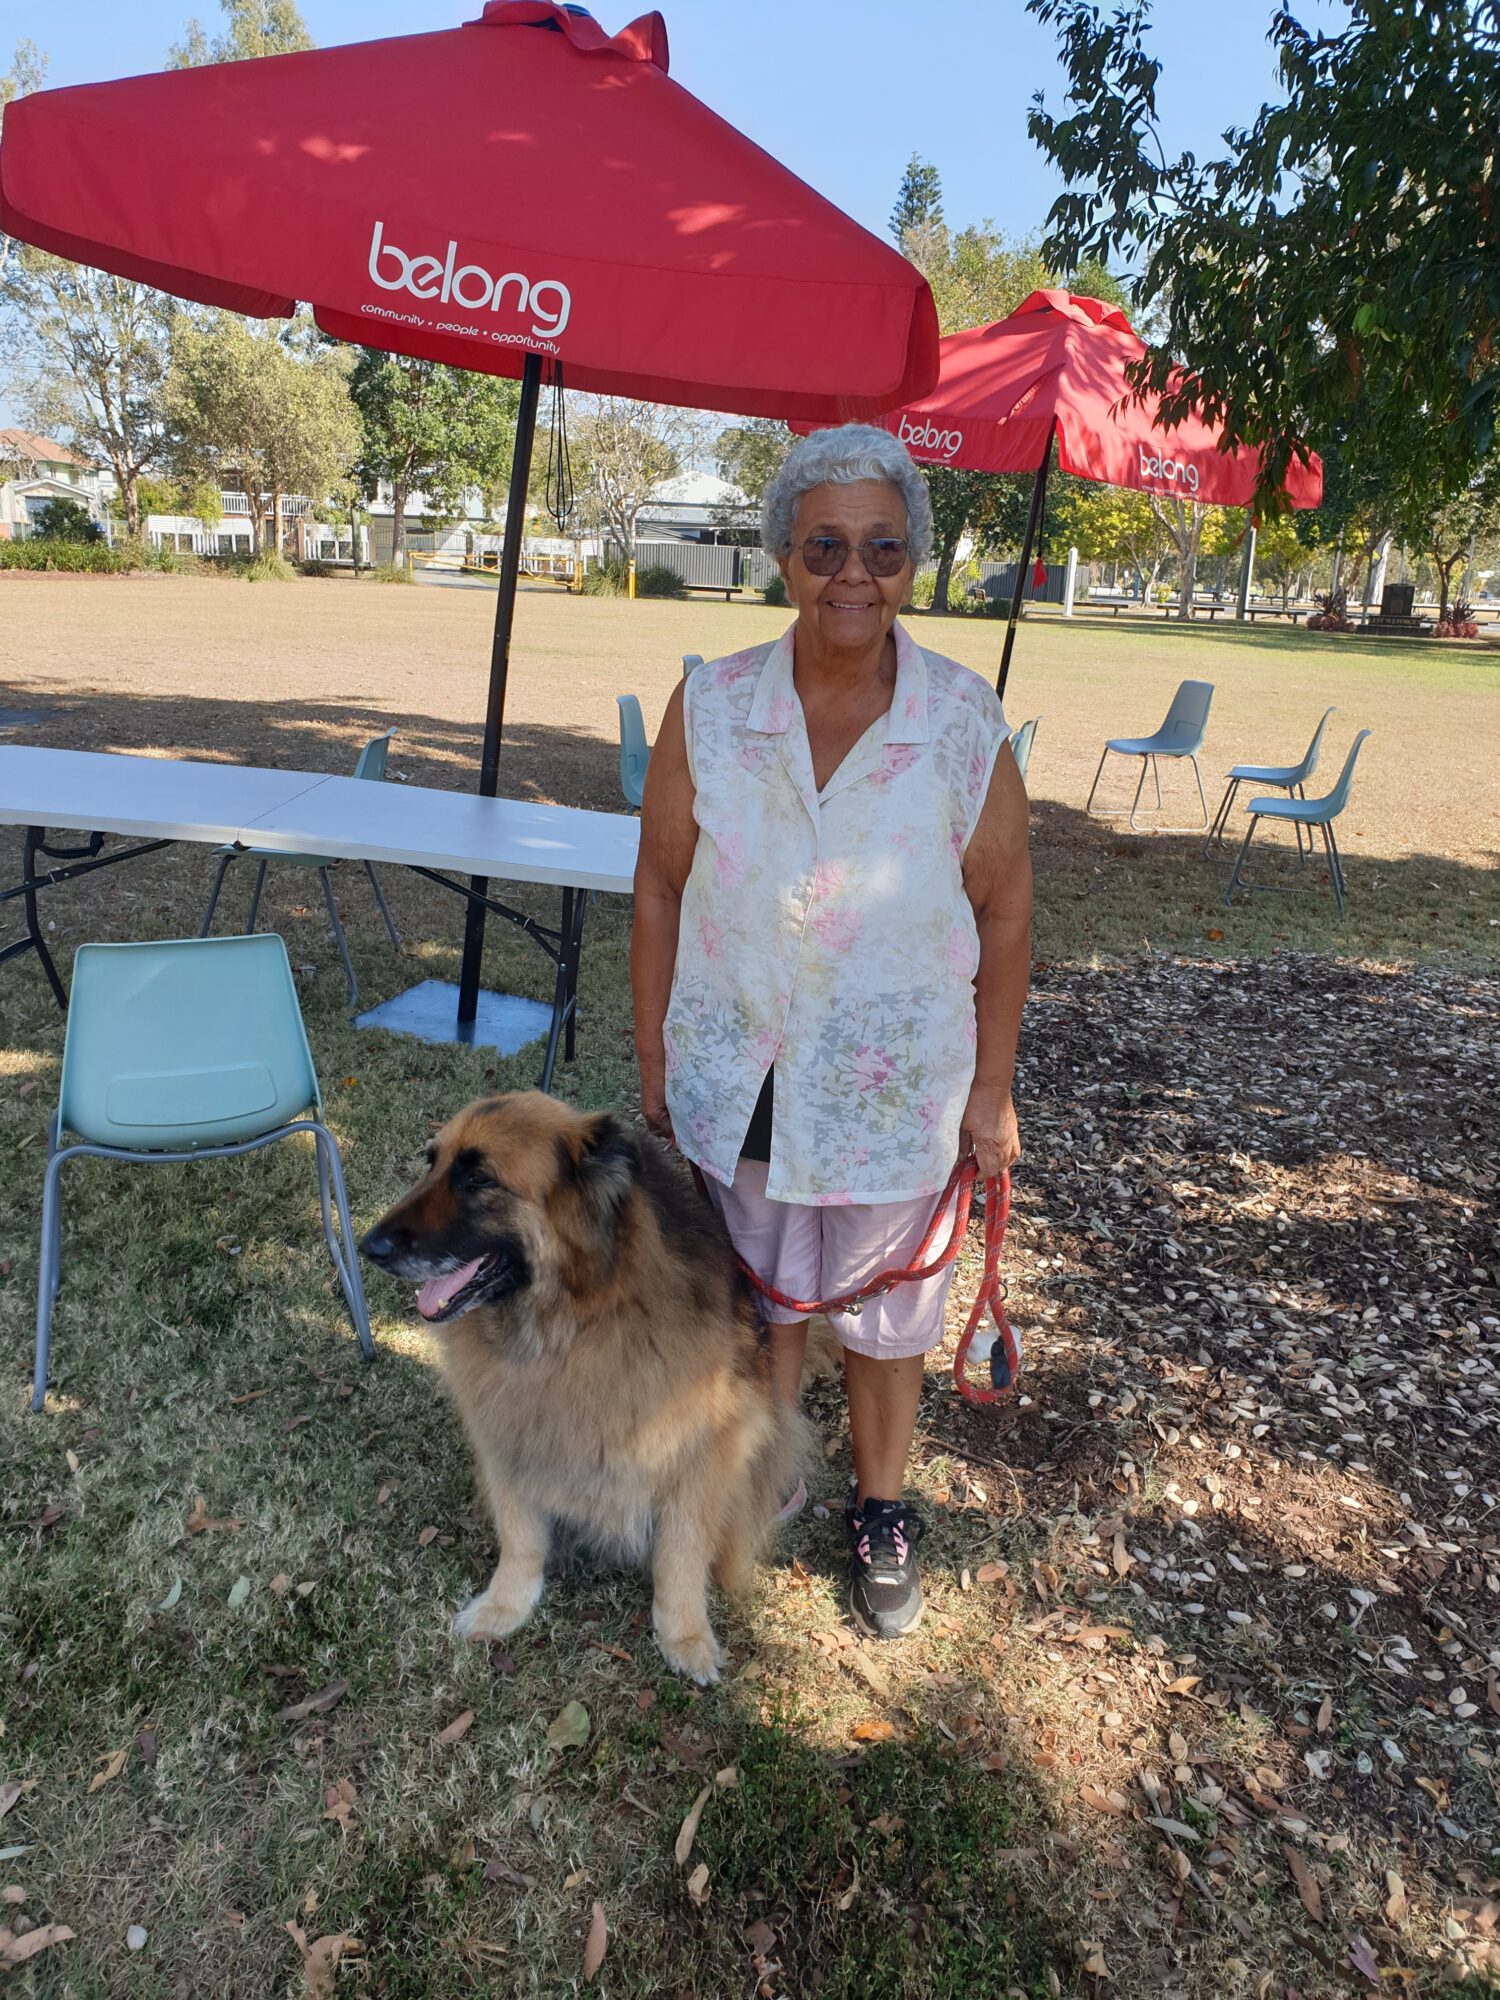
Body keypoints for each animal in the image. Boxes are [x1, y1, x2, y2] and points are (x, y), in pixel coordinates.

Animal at [362, 1104, 812, 1680]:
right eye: (432, 1162)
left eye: (479, 1179)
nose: (367, 1247)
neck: (577, 1322)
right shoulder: (510, 1435)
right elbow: (521, 1537)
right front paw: (504, 1605)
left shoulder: (702, 1455)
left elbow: (681, 1554)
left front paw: (685, 1635)